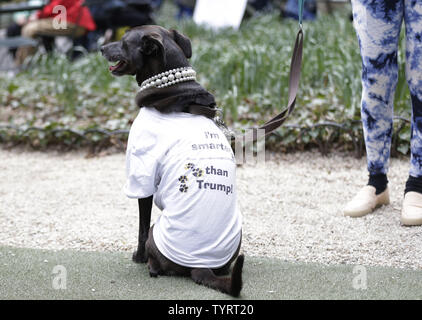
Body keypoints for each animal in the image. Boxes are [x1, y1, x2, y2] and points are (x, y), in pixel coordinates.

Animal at [101, 25, 244, 298]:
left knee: (152, 248)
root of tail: (201, 265)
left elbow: (140, 225)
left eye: (124, 42)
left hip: (156, 232)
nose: (101, 47)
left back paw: (151, 265)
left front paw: (137, 257)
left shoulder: (142, 178)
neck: (178, 92)